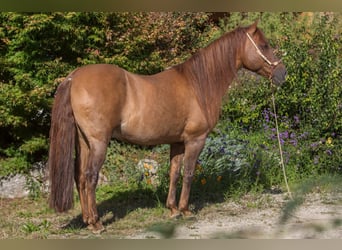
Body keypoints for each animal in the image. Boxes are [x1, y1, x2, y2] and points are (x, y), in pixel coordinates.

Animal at [48, 21, 288, 232]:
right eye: (264, 45)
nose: (282, 73)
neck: (198, 84)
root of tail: (73, 77)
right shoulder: (195, 139)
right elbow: (189, 173)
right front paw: (186, 210)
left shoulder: (177, 142)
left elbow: (174, 172)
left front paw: (173, 209)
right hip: (99, 142)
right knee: (90, 177)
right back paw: (96, 223)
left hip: (84, 142)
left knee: (80, 177)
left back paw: (87, 220)